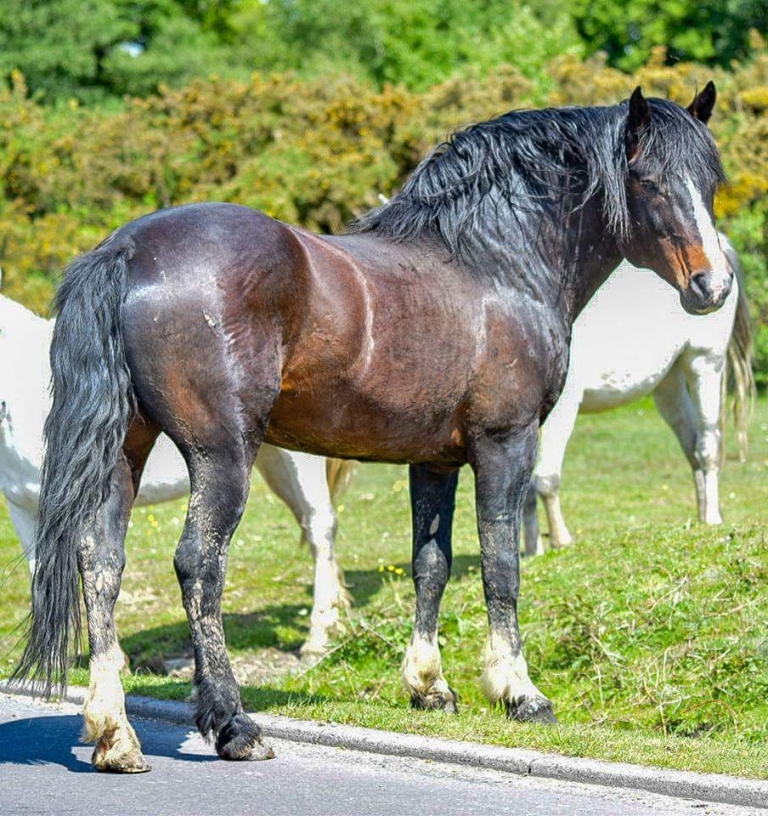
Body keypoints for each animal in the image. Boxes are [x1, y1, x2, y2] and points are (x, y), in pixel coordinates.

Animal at [524, 233, 752, 556]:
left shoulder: (564, 406)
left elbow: (546, 479)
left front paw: (560, 542)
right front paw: (533, 552)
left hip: (704, 363)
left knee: (708, 446)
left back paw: (712, 519)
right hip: (668, 383)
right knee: (692, 446)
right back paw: (699, 519)